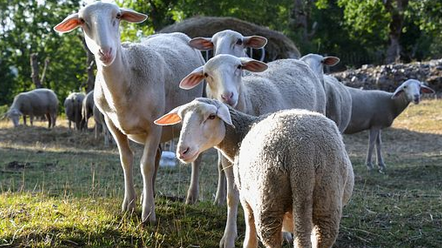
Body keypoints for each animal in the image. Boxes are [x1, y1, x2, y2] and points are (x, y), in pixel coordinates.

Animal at [54, 1, 205, 223]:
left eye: (118, 15)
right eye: (82, 20)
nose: (105, 52)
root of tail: (178, 34)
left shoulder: (154, 124)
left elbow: (146, 165)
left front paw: (148, 214)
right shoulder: (112, 125)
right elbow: (127, 161)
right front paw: (129, 205)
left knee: (197, 158)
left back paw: (191, 196)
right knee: (158, 155)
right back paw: (149, 194)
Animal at [155, 98, 356, 248]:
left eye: (211, 116)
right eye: (181, 118)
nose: (183, 151)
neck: (242, 132)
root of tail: (303, 153)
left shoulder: (246, 195)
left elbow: (249, 226)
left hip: (268, 199)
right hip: (327, 200)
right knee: (323, 236)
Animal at [178, 53, 326, 246]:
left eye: (239, 67)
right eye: (206, 75)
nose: (227, 96)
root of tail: (294, 60)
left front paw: (284, 234)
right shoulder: (230, 161)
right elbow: (232, 197)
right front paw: (228, 237)